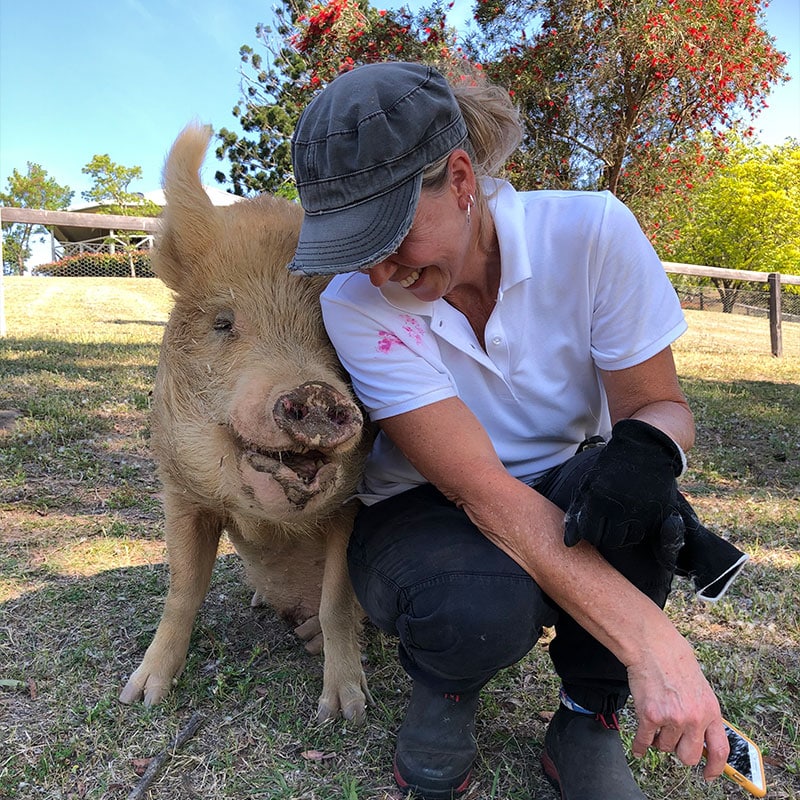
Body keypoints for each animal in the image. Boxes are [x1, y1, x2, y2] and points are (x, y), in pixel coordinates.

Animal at [119, 123, 371, 723]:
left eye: (334, 332)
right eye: (223, 322)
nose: (313, 390)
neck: (266, 521)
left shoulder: (353, 508)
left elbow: (337, 601)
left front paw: (344, 714)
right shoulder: (179, 491)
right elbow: (183, 590)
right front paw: (140, 697)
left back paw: (305, 637)